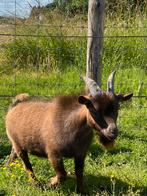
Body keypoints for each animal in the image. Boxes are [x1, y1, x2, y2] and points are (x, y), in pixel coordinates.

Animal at [5, 71, 133, 193]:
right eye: (94, 109)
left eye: (117, 108)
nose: (113, 131)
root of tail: (15, 105)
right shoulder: (53, 153)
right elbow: (62, 174)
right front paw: (49, 184)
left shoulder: (80, 153)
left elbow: (79, 172)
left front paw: (81, 191)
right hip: (18, 145)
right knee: (27, 165)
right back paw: (36, 184)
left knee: (13, 155)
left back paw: (7, 168)